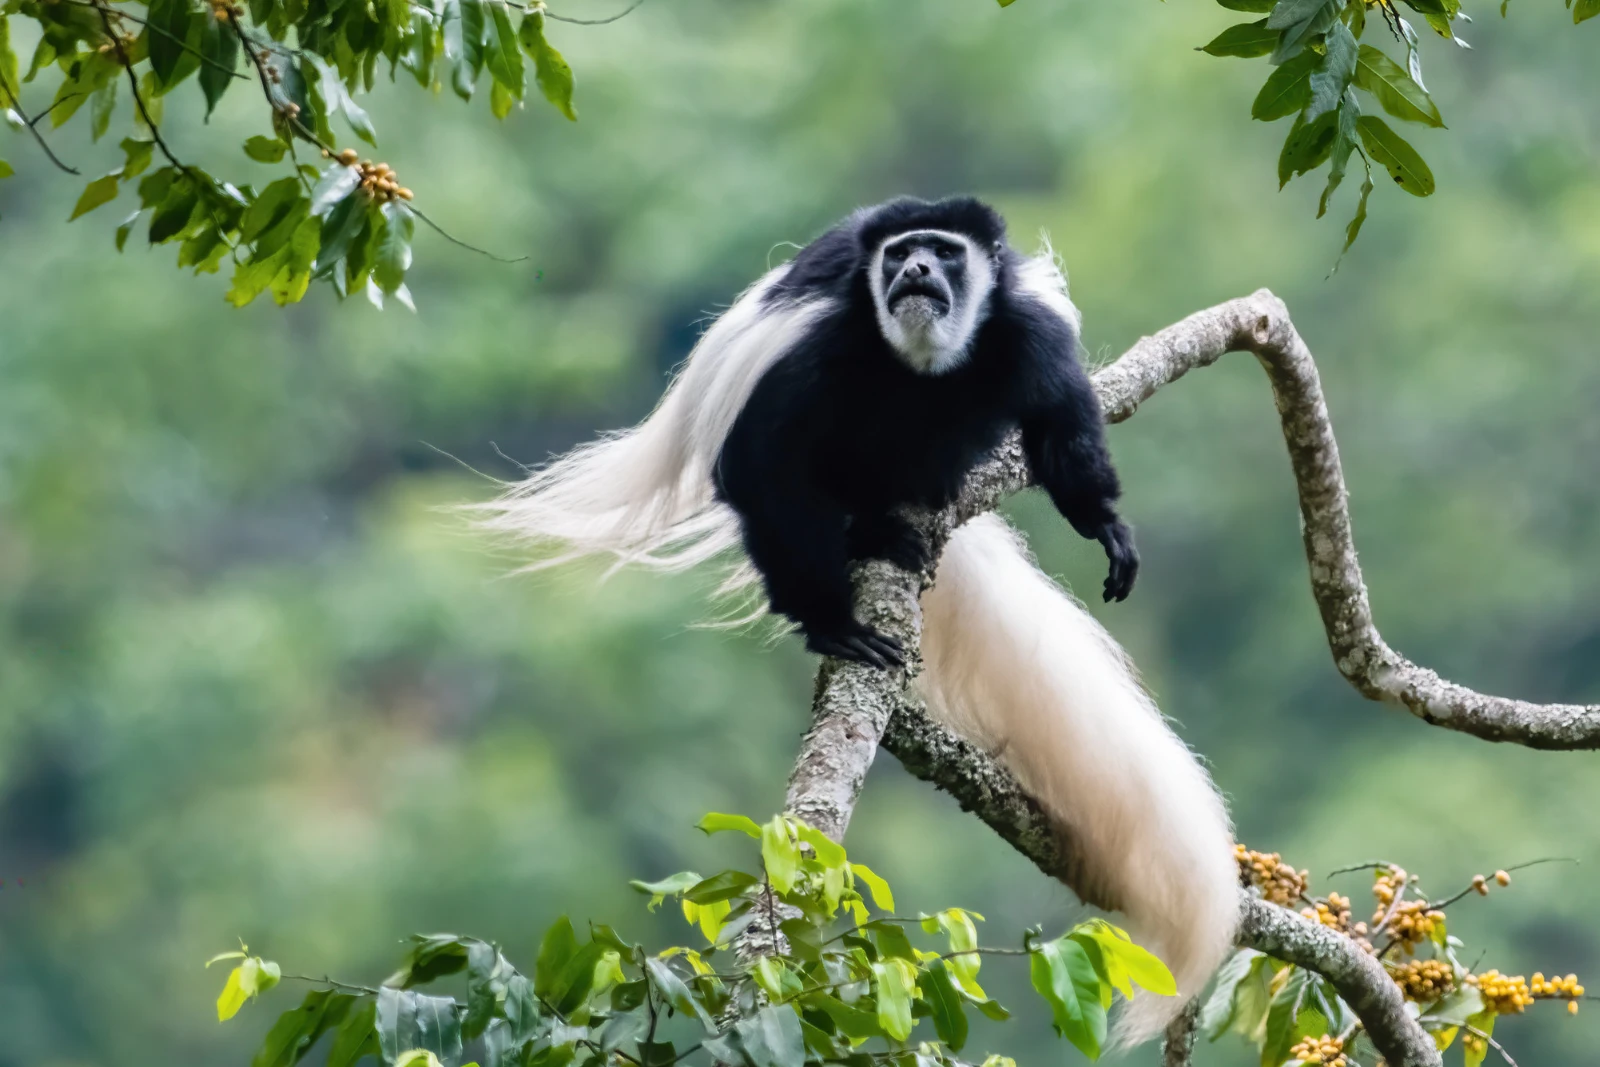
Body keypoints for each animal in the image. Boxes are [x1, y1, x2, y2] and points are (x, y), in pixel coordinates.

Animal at [474, 196, 1237, 1046]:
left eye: (944, 252)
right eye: (902, 254)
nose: (919, 270)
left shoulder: (1029, 335)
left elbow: (1062, 431)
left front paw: (1106, 527)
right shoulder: (817, 353)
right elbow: (760, 465)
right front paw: (829, 618)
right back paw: (854, 568)